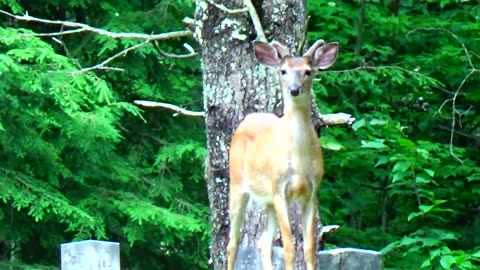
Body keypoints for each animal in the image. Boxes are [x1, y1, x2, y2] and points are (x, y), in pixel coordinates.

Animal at [227, 39, 340, 270]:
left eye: (307, 71)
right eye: (283, 71)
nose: (294, 89)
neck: (298, 161)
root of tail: (247, 119)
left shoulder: (312, 192)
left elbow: (309, 249)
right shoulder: (280, 189)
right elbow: (289, 248)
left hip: (268, 200)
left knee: (263, 244)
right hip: (237, 184)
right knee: (232, 244)